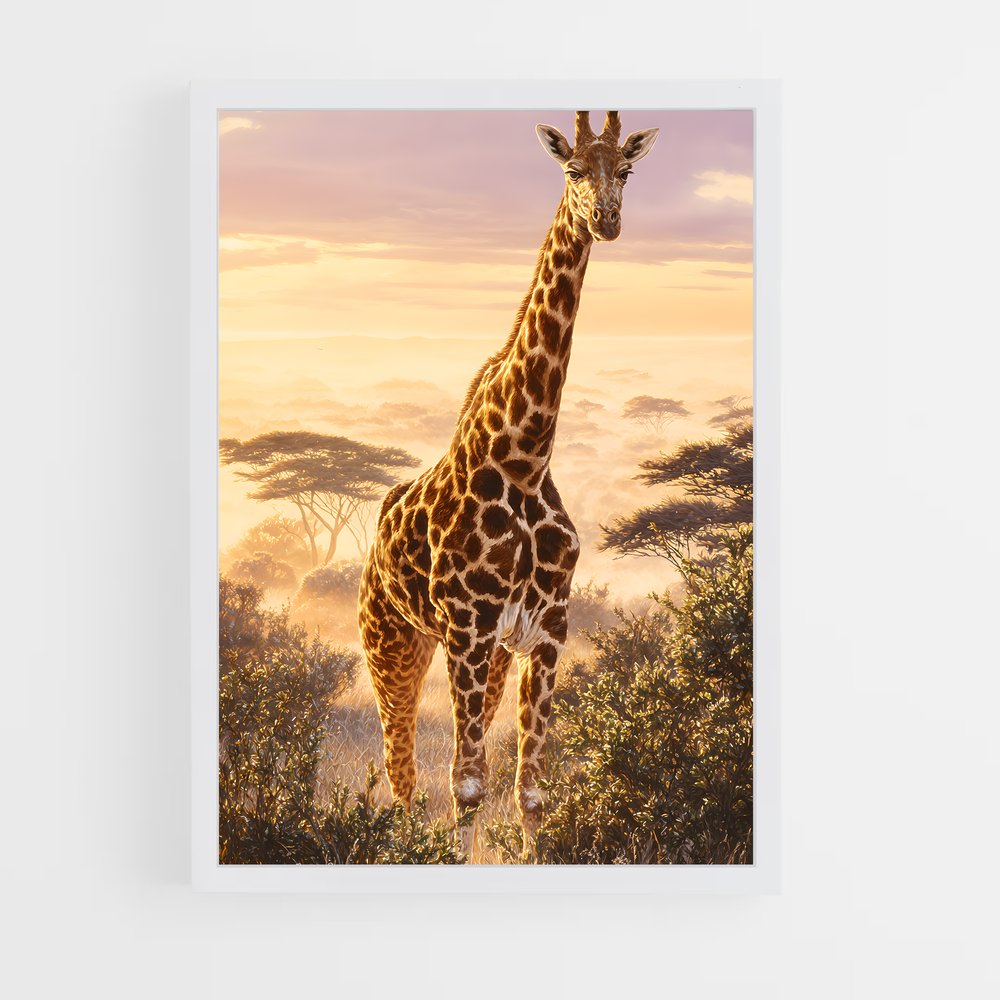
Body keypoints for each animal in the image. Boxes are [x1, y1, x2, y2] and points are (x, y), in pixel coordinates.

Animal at [358, 110, 659, 859]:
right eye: (573, 170)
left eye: (626, 170)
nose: (606, 220)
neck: (524, 460)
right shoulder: (467, 631)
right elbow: (466, 786)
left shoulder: (546, 632)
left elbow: (530, 791)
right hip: (393, 645)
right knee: (402, 771)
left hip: (485, 659)